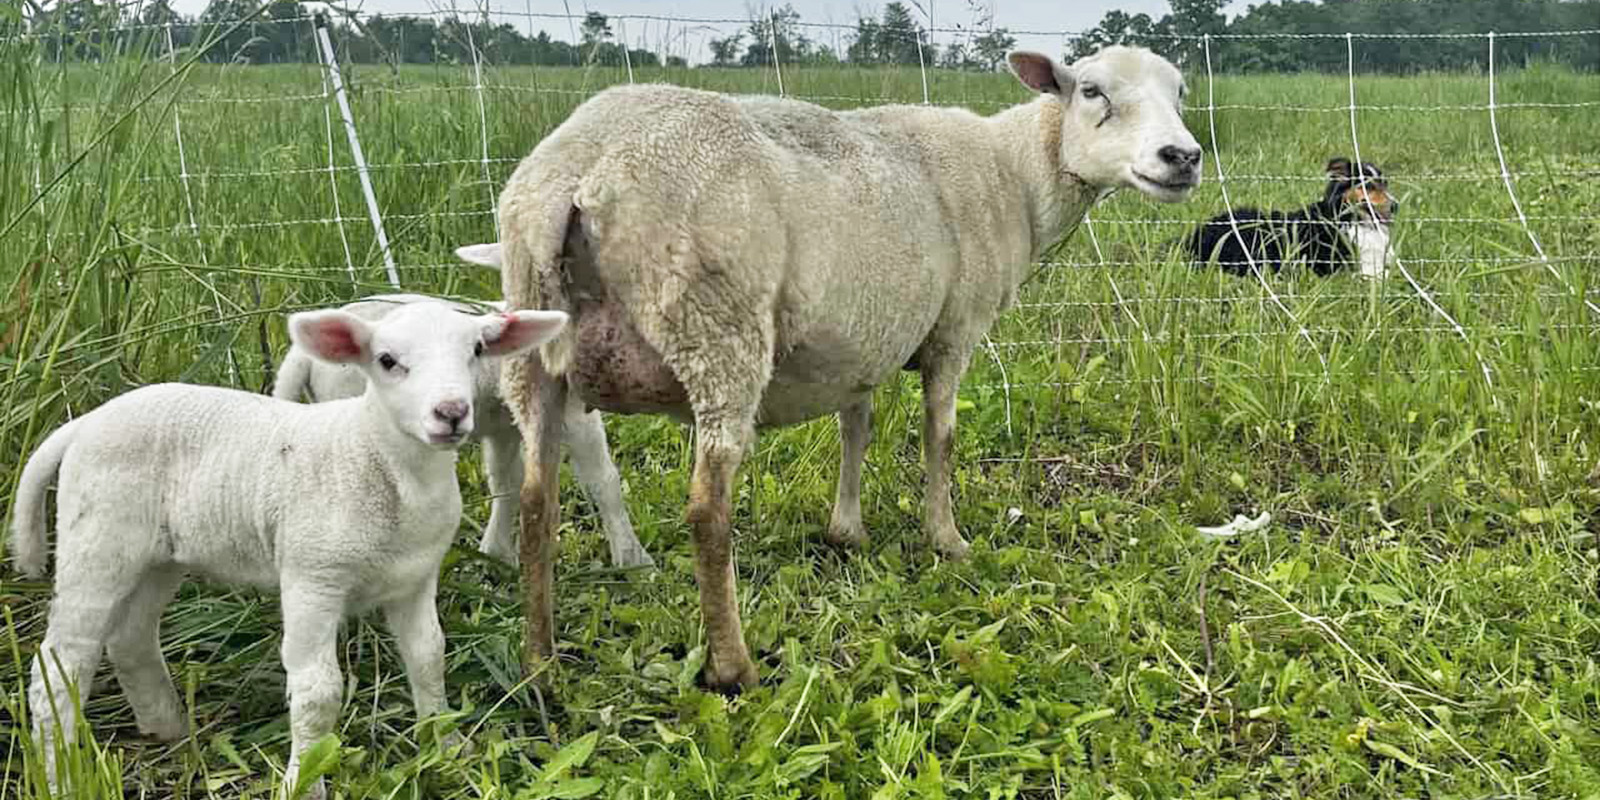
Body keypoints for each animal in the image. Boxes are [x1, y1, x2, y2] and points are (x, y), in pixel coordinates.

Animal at [11, 303, 566, 799]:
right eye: (387, 360)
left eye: (477, 350)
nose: (451, 413)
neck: (376, 456)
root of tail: (84, 424)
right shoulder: (312, 575)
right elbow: (319, 692)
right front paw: (303, 782)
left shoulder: (415, 578)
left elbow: (429, 658)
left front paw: (446, 749)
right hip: (98, 540)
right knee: (60, 665)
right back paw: (61, 778)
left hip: (159, 555)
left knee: (130, 637)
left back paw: (169, 728)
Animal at [273, 293, 653, 570]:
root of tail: (300, 356)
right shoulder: (572, 413)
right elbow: (603, 480)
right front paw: (632, 560)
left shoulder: (502, 427)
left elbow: (506, 483)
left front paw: (497, 554)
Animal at [488, 45, 1202, 691]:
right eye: (1091, 90)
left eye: (1181, 92)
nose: (1183, 157)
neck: (1017, 177)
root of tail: (581, 171)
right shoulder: (955, 329)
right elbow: (940, 437)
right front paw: (946, 540)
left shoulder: (863, 340)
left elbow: (854, 429)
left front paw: (846, 531)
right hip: (717, 330)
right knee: (706, 510)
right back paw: (733, 667)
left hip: (536, 342)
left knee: (536, 500)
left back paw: (539, 664)